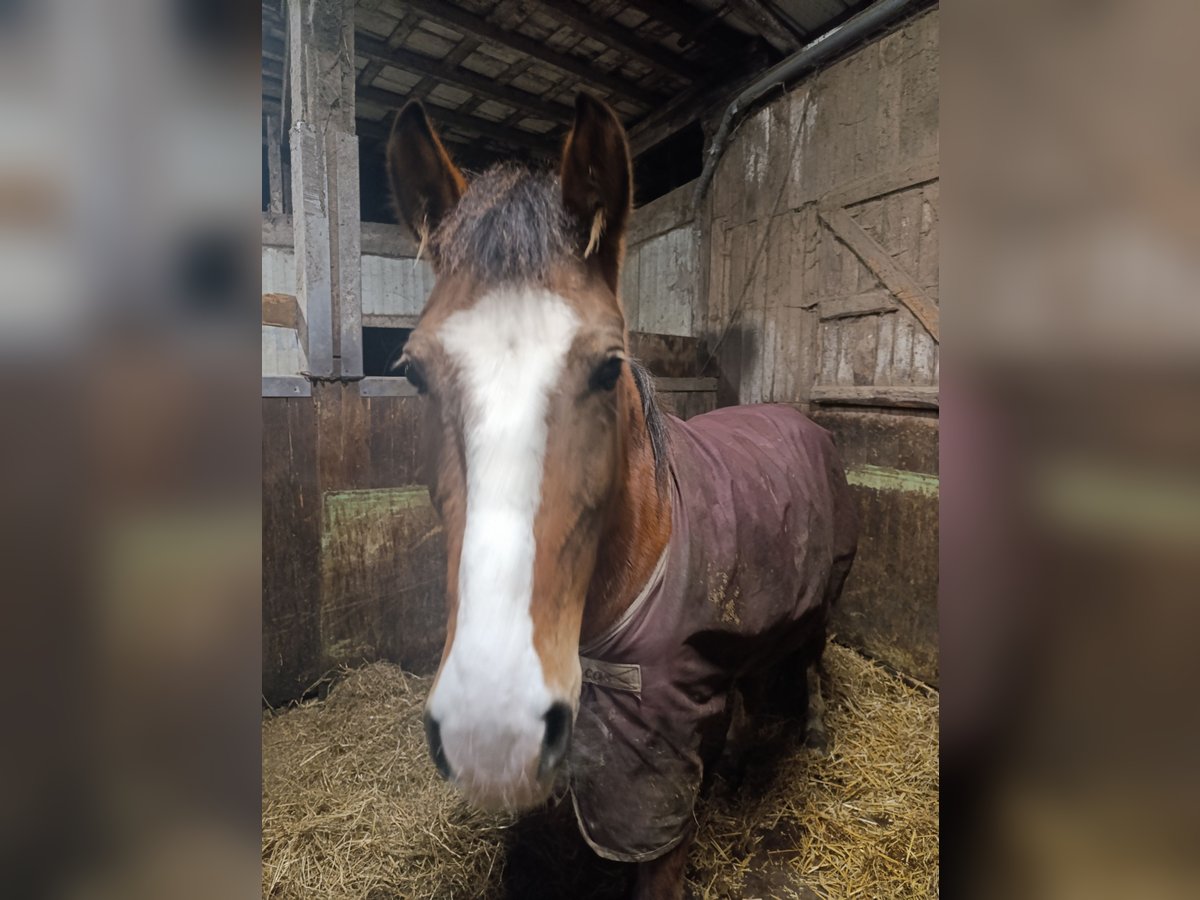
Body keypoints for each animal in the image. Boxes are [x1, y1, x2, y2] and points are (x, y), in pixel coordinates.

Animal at [386, 93, 858, 900]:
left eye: (610, 367)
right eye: (415, 371)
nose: (492, 727)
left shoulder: (658, 781)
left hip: (826, 594)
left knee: (816, 657)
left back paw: (816, 734)